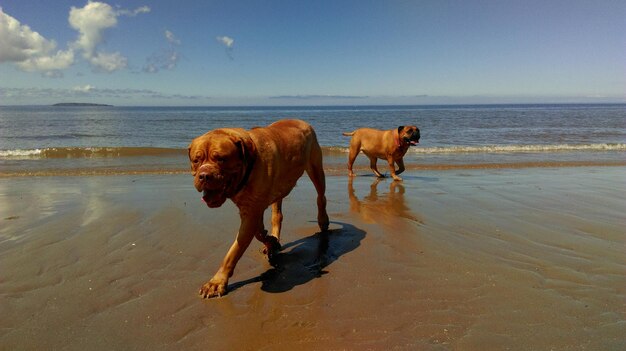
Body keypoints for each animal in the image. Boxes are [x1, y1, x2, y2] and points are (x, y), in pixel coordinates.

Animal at [186, 119, 330, 298]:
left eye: (221, 159)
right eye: (196, 160)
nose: (204, 176)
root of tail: (300, 121)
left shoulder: (252, 212)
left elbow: (234, 251)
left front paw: (217, 281)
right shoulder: (252, 208)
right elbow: (259, 232)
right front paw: (271, 242)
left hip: (315, 169)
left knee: (321, 197)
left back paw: (323, 220)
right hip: (279, 188)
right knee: (277, 215)